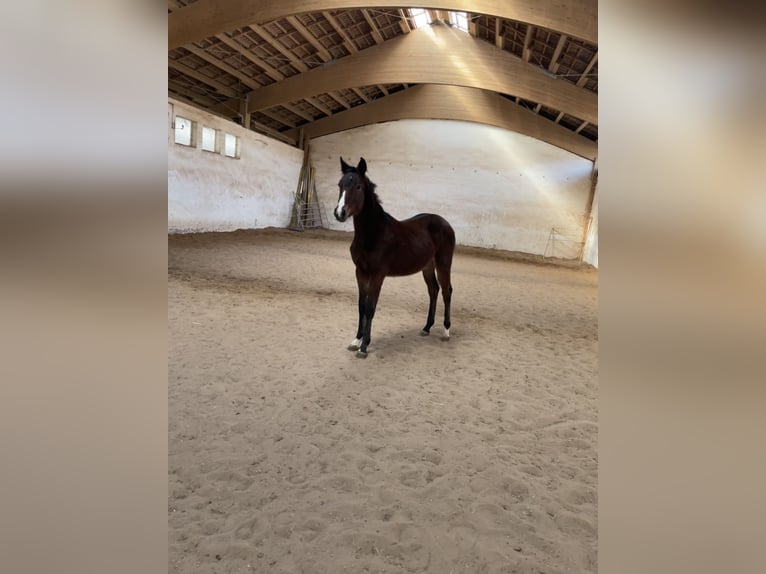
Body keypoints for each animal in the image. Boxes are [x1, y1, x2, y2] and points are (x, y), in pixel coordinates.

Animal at [333, 156, 455, 358]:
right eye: (340, 184)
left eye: (358, 186)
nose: (339, 213)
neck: (373, 235)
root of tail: (446, 223)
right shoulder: (360, 272)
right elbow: (361, 306)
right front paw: (356, 341)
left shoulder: (378, 275)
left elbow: (370, 307)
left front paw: (364, 347)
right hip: (427, 266)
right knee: (433, 290)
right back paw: (426, 328)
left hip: (443, 264)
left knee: (447, 291)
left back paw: (446, 331)